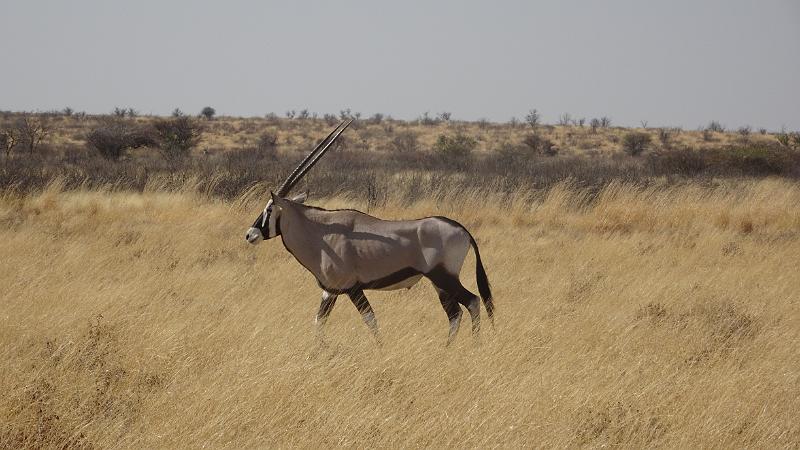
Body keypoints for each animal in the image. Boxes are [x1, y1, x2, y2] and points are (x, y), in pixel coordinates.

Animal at [245, 120, 494, 344]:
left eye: (269, 209)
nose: (250, 234)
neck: (320, 232)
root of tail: (462, 230)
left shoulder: (352, 288)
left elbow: (370, 319)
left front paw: (380, 348)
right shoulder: (330, 291)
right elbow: (318, 321)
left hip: (443, 276)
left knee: (472, 302)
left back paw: (475, 345)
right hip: (439, 283)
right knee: (454, 313)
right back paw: (447, 347)